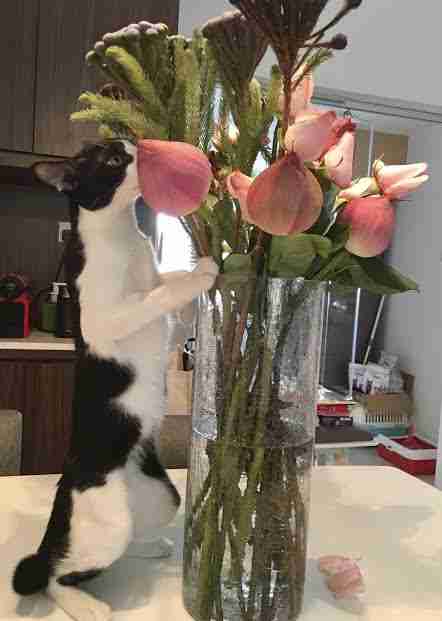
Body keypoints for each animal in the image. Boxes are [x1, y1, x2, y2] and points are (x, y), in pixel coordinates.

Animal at [13, 140, 219, 620]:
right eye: (112, 159)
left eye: (128, 143)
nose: (141, 147)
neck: (123, 231)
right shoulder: (107, 316)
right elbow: (156, 296)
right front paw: (203, 273)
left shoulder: (155, 287)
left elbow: (165, 282)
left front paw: (193, 273)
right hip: (106, 519)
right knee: (54, 574)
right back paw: (84, 604)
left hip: (162, 496)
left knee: (124, 543)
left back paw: (150, 548)